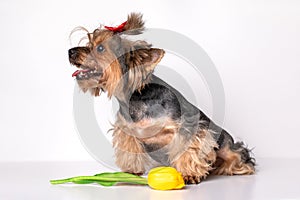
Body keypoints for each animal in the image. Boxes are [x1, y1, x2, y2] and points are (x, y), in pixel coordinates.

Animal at [68, 12, 255, 184]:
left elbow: (188, 148)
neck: (133, 97)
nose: (70, 51)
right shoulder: (127, 132)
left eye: (100, 48)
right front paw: (131, 171)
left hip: (223, 144)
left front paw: (189, 174)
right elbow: (130, 151)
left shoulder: (188, 126)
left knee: (237, 153)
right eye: (88, 43)